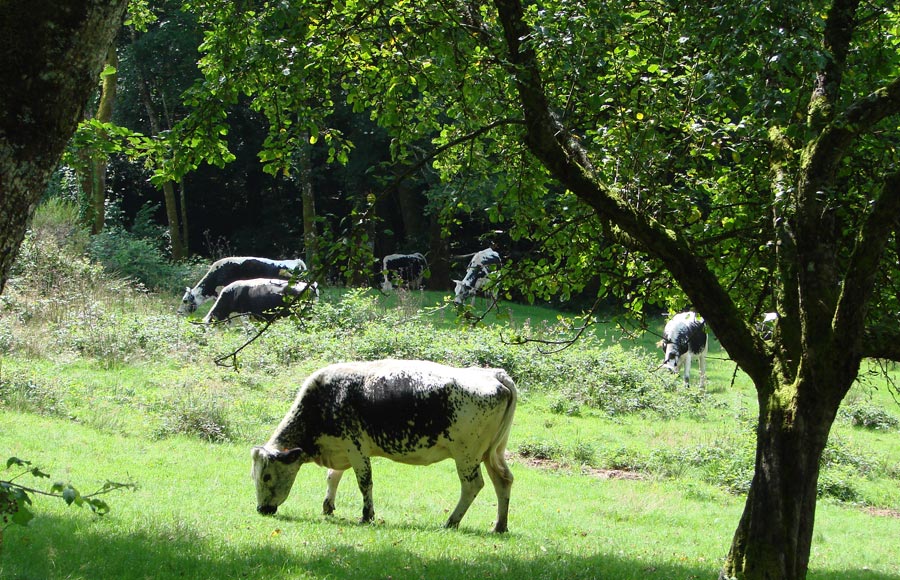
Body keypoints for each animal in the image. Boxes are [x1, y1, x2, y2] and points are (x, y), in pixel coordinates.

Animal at [253, 360, 520, 532]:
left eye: (266, 476)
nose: (261, 509)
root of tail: (493, 374)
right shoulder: (341, 448)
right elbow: (333, 476)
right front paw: (328, 507)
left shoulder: (356, 447)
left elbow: (364, 482)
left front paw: (367, 516)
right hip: (492, 453)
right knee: (503, 480)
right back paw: (500, 526)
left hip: (467, 455)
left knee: (473, 485)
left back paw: (451, 522)